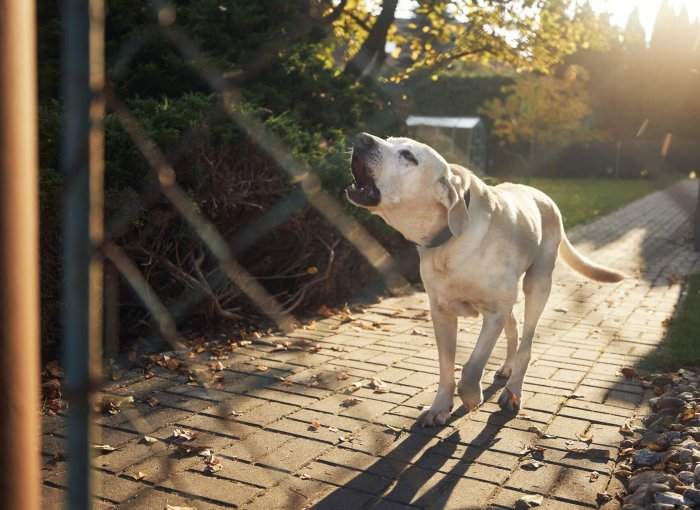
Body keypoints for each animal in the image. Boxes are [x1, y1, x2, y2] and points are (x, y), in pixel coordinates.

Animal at [348, 132, 628, 426]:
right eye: (389, 140)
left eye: (409, 156)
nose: (362, 138)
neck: (449, 241)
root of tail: (544, 196)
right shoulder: (442, 313)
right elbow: (446, 368)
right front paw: (440, 407)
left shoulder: (495, 312)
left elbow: (471, 366)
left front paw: (471, 397)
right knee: (514, 330)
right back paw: (507, 368)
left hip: (537, 284)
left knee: (526, 344)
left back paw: (513, 391)